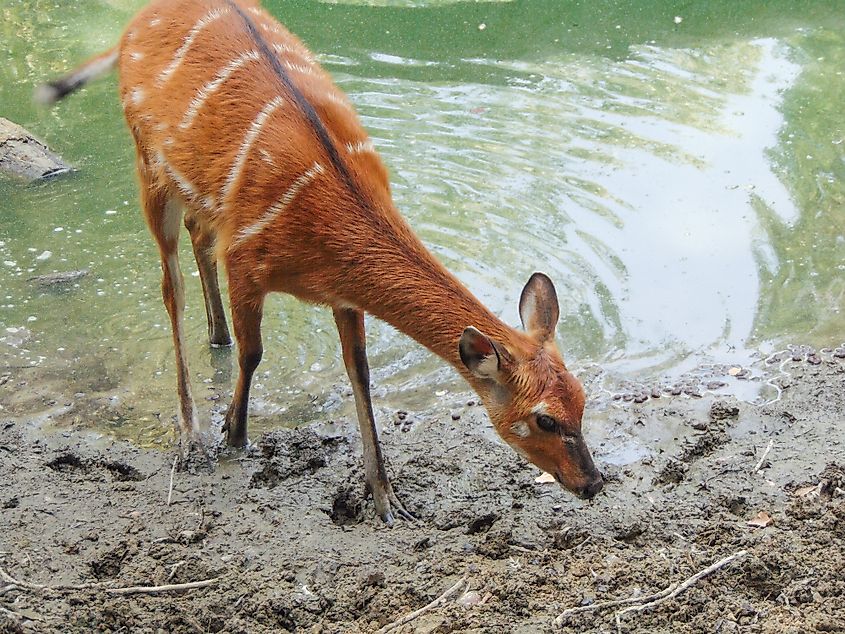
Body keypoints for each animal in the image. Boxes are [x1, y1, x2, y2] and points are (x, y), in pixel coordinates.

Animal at [39, 0, 604, 520]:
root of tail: (132, 25)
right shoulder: (245, 258)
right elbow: (254, 354)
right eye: (545, 419)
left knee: (199, 244)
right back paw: (189, 433)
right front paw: (232, 436)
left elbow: (360, 372)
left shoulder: (342, 294)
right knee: (169, 284)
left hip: (196, 193)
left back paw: (216, 337)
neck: (329, 229)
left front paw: (387, 499)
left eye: (581, 398)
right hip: (149, 166)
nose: (593, 483)